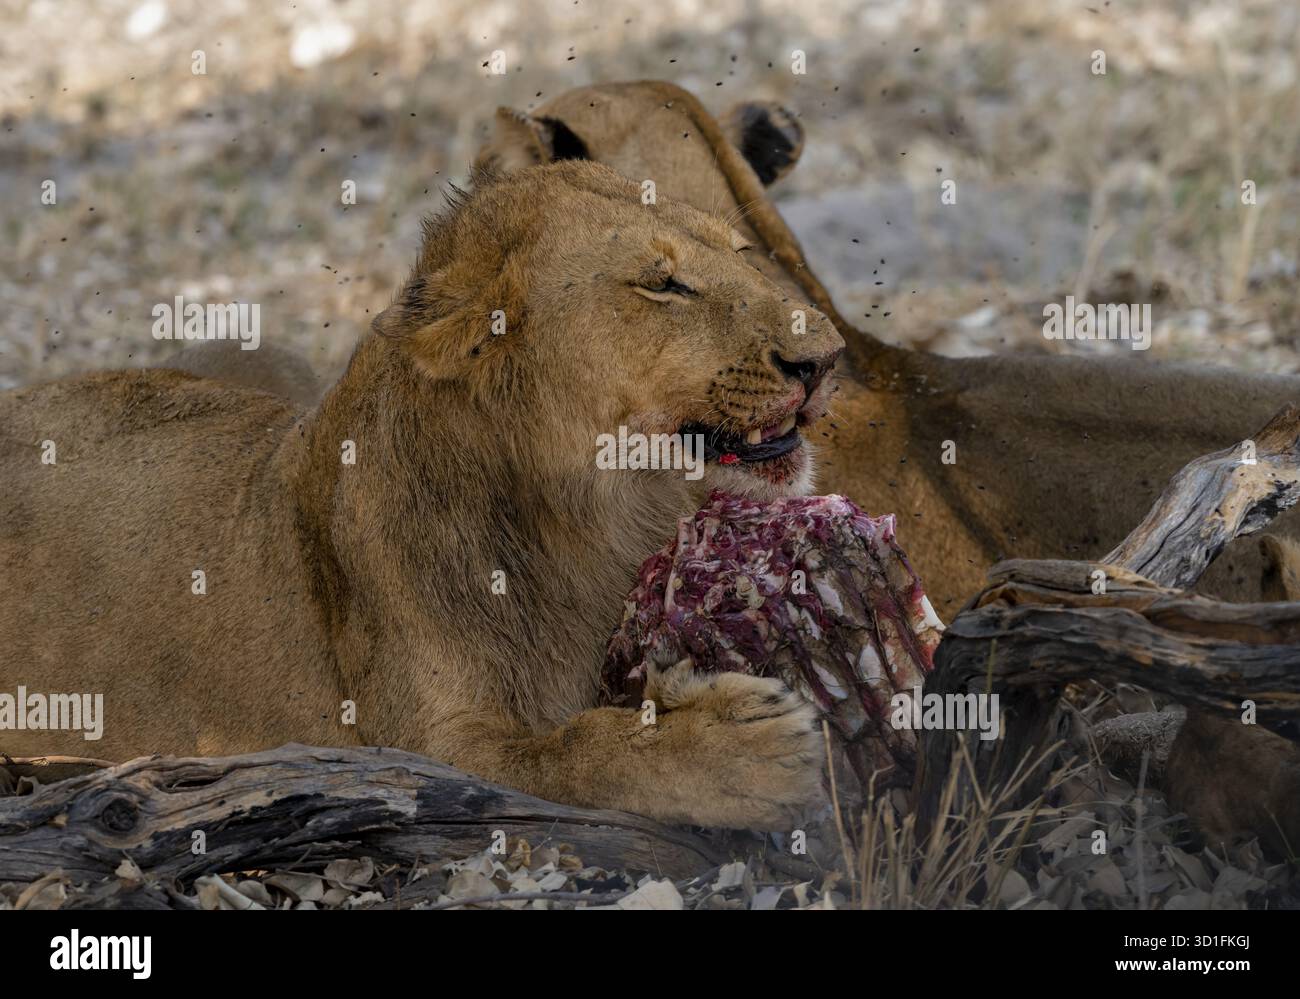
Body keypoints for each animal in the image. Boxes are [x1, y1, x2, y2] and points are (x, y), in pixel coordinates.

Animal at [0, 161, 844, 829]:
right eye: (662, 283)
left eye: (739, 251)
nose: (828, 357)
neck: (593, 513)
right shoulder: (410, 751)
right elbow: (574, 752)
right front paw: (742, 744)